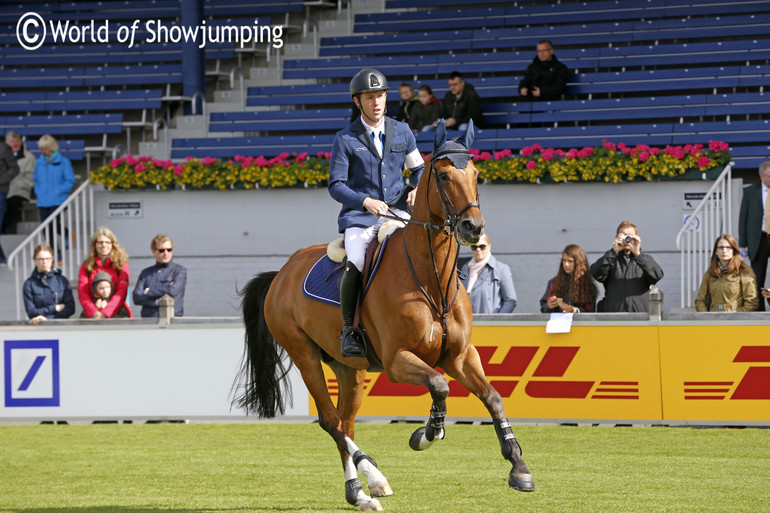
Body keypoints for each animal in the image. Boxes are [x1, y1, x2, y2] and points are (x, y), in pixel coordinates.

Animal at [236, 120, 536, 508]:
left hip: (349, 369)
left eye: (476, 174)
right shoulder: (397, 360)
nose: (473, 227)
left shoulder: (459, 355)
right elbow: (439, 385)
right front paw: (426, 433)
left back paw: (360, 489)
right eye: (443, 175)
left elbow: (493, 397)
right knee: (331, 421)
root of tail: (282, 273)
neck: (430, 278)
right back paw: (369, 479)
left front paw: (518, 466)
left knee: (344, 422)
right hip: (304, 355)